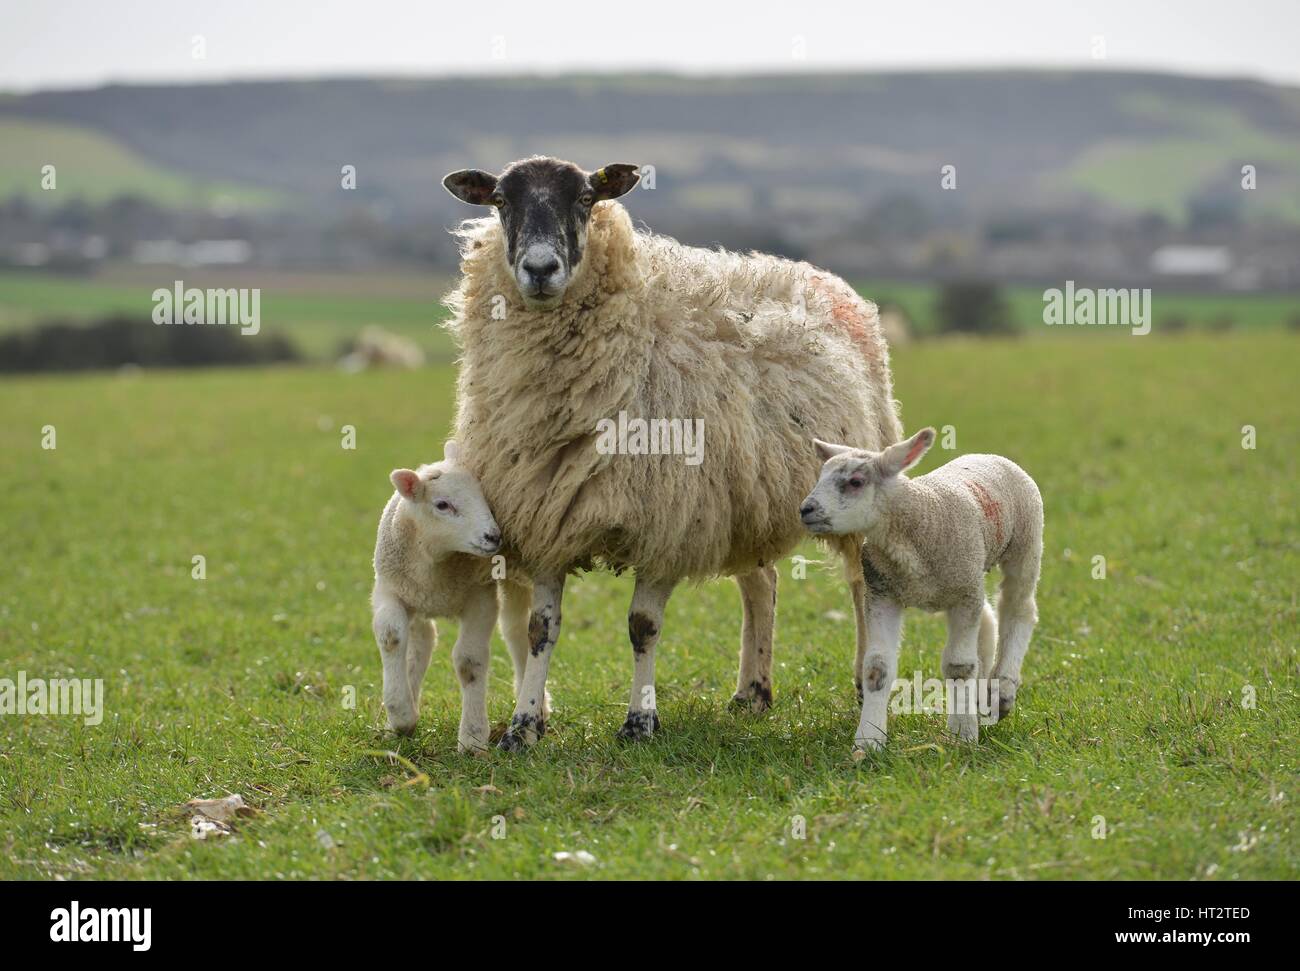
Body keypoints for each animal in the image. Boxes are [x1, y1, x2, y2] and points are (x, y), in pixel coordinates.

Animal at [371, 439, 538, 753]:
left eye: (484, 496)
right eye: (442, 505)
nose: (493, 537)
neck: (437, 559)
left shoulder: (481, 597)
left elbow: (468, 661)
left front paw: (473, 738)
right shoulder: (389, 589)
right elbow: (391, 637)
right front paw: (400, 716)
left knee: (516, 631)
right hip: (415, 598)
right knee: (422, 641)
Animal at [441, 154, 899, 753]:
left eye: (586, 199)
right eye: (500, 201)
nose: (540, 269)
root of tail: (820, 276)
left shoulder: (667, 519)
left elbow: (643, 627)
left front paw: (640, 721)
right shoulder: (548, 516)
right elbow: (541, 630)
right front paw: (523, 727)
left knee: (860, 585)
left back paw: (859, 681)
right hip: (744, 497)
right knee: (761, 585)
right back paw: (752, 692)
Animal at [800, 426, 1045, 753]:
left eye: (855, 482)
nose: (805, 510)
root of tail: (990, 456)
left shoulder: (963, 596)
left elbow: (959, 666)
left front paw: (962, 734)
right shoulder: (882, 592)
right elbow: (876, 668)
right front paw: (869, 740)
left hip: (1025, 544)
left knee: (1018, 609)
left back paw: (1002, 690)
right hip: (971, 573)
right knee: (989, 619)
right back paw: (983, 697)